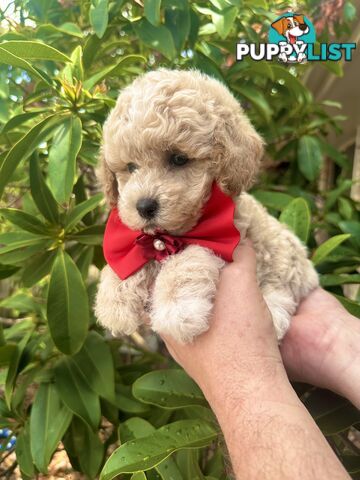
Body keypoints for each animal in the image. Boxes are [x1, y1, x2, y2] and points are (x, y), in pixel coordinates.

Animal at [95, 69, 318, 344]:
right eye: (130, 167)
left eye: (179, 159)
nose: (144, 206)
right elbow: (130, 256)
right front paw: (114, 299)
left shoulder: (226, 238)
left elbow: (189, 257)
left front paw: (177, 309)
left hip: (287, 261)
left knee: (283, 290)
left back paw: (274, 315)